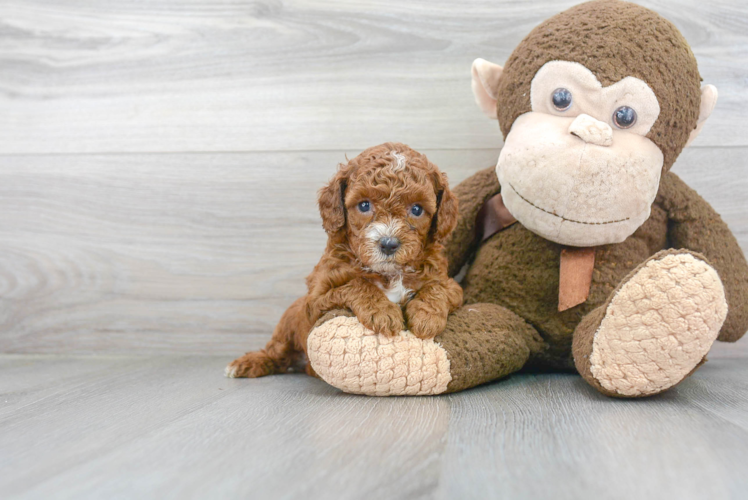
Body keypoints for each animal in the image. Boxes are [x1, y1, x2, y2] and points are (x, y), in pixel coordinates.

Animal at [225, 143, 464, 376]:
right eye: (364, 205)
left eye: (416, 209)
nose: (388, 244)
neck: (388, 274)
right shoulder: (315, 302)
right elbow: (356, 284)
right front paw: (382, 312)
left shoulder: (450, 285)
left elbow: (437, 288)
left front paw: (426, 317)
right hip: (290, 318)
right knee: (275, 352)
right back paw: (247, 363)